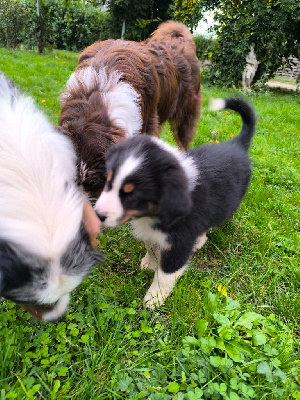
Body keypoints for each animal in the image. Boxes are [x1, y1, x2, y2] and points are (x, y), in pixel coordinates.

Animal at [95, 98, 255, 308]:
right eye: (108, 181)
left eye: (131, 195)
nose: (97, 215)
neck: (152, 214)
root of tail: (237, 144)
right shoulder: (151, 233)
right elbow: (151, 247)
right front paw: (149, 263)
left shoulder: (179, 242)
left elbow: (165, 274)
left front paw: (153, 299)